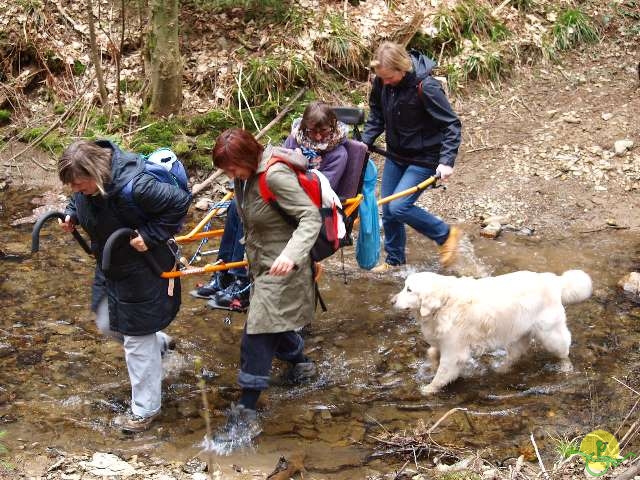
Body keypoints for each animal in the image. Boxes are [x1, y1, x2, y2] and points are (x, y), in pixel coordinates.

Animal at [392, 270, 592, 394]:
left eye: (409, 289)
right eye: (404, 286)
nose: (392, 301)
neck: (444, 303)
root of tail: (553, 280)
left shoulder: (454, 351)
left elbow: (442, 374)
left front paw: (428, 389)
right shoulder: (444, 342)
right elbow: (432, 352)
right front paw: (432, 363)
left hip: (550, 334)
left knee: (564, 350)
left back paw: (565, 368)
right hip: (517, 332)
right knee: (516, 354)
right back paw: (501, 369)